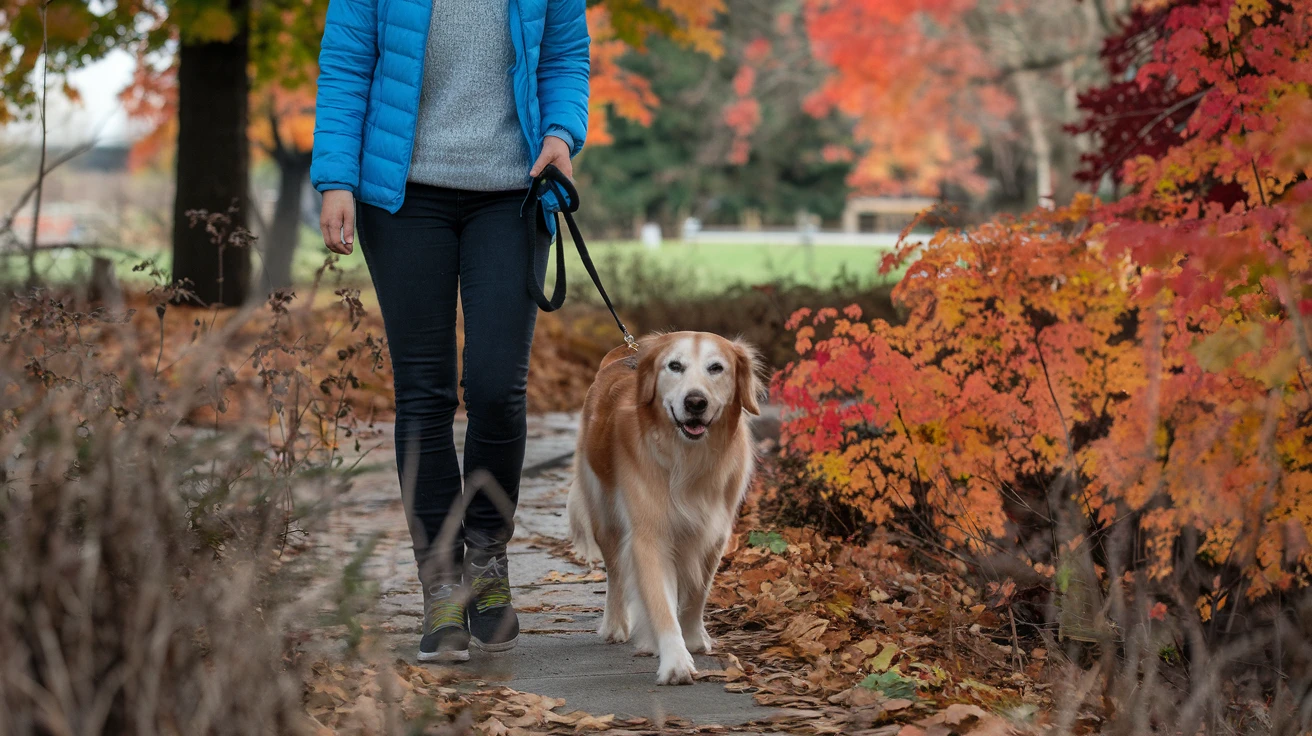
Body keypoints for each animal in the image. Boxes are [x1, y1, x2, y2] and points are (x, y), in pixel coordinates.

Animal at [564, 331, 760, 682]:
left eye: (716, 367)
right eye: (674, 366)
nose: (695, 402)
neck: (686, 457)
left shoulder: (713, 532)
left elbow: (698, 593)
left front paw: (693, 638)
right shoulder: (649, 535)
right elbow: (659, 600)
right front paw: (675, 660)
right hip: (604, 514)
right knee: (615, 572)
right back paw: (615, 625)